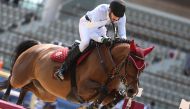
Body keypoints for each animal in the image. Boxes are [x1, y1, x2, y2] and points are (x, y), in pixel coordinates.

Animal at [0, 38, 153, 108]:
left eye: (143, 68)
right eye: (130, 64)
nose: (133, 91)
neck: (110, 66)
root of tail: (36, 46)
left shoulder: (109, 92)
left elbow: (115, 95)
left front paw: (106, 105)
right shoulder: (83, 88)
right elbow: (103, 89)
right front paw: (94, 105)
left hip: (44, 92)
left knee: (25, 88)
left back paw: (18, 103)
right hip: (21, 76)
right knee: (12, 82)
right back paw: (6, 98)